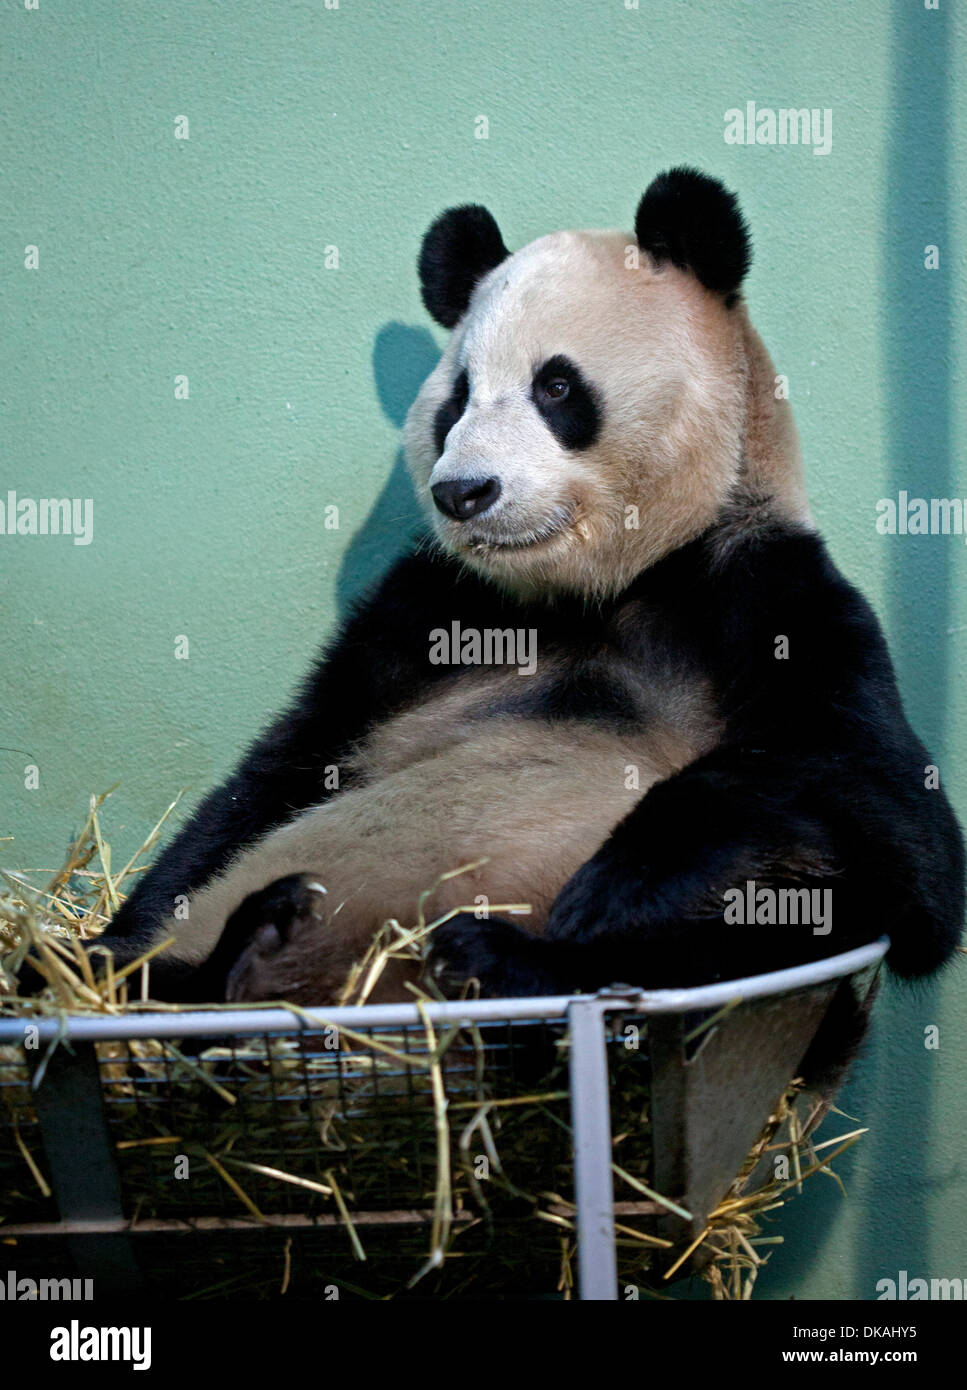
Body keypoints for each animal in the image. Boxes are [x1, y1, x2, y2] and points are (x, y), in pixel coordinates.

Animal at [88, 168, 961, 1056]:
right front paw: (108, 951)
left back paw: (494, 959)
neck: (596, 588)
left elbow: (898, 831)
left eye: (556, 386)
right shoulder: (426, 611)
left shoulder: (766, 590)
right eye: (457, 399)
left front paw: (618, 881)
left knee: (766, 924)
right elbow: (275, 774)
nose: (463, 492)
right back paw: (227, 957)